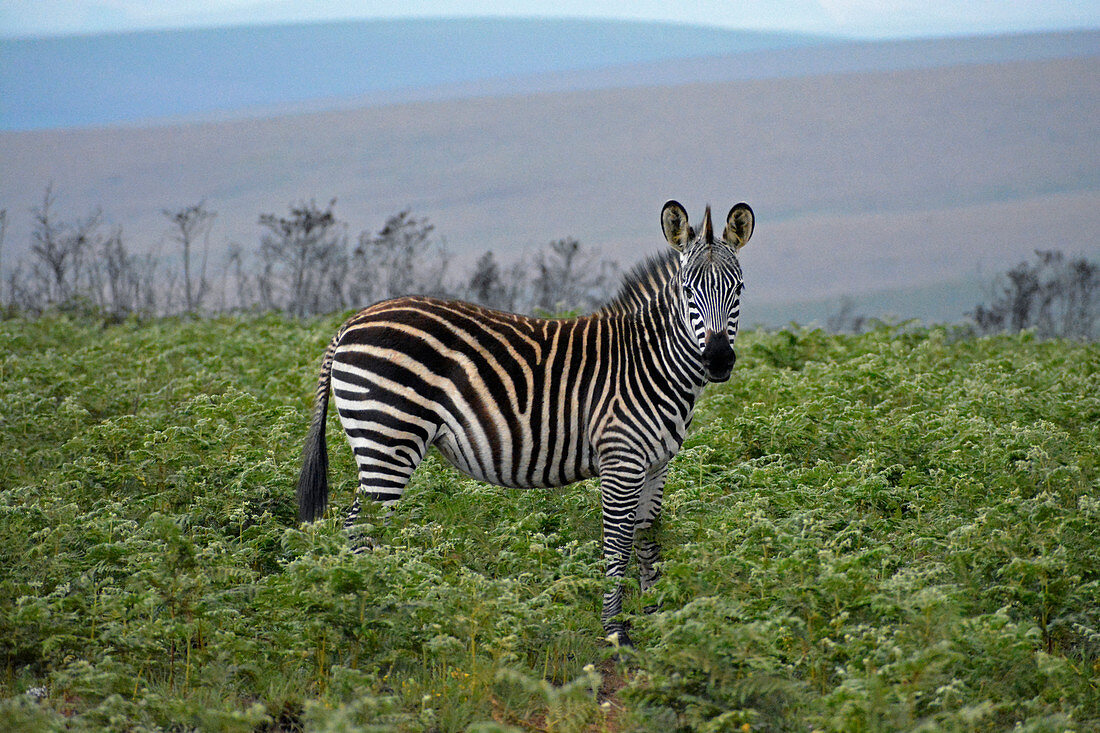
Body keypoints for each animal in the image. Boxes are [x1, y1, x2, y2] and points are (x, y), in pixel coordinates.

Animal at [297, 198, 752, 638]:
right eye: (688, 290)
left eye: (739, 288)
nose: (718, 360)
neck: (650, 361)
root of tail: (351, 322)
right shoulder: (620, 460)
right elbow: (617, 545)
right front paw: (615, 632)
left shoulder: (656, 464)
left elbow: (647, 540)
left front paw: (657, 625)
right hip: (388, 437)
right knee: (360, 528)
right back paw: (371, 614)